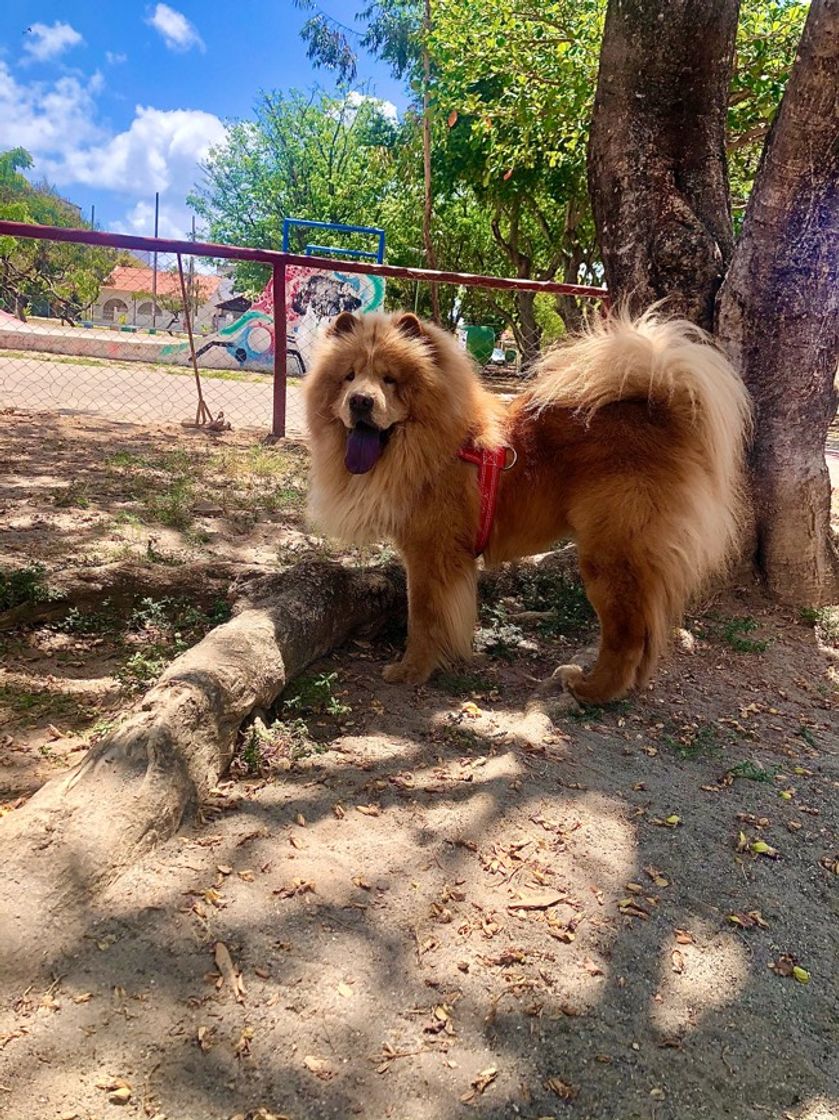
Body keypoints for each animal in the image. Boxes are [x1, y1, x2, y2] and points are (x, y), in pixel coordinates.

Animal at [304, 306, 748, 703]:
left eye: (390, 379)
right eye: (348, 377)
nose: (360, 401)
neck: (445, 445)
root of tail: (662, 408)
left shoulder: (431, 553)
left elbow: (425, 616)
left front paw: (412, 670)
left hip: (610, 555)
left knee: (626, 635)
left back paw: (591, 689)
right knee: (648, 633)